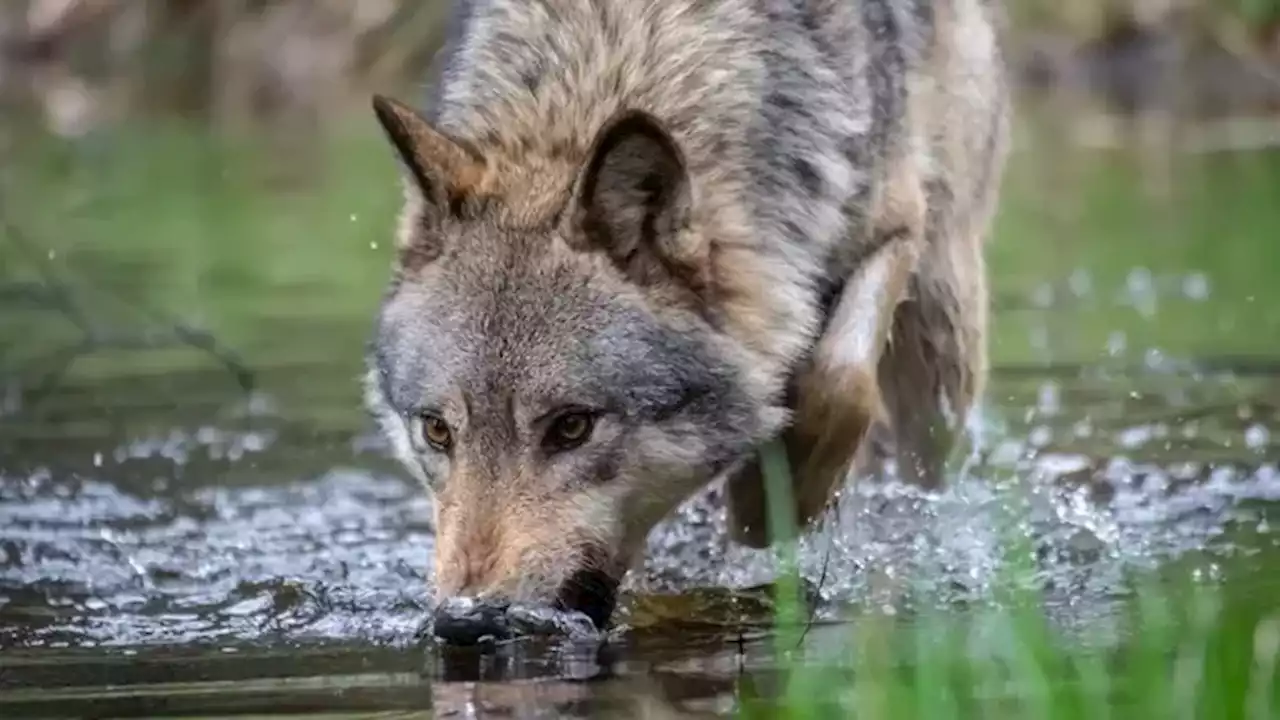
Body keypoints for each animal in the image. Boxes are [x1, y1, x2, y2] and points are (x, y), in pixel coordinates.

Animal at [366, 0, 1013, 635]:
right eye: (437, 431)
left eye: (571, 427)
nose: (467, 622)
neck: (612, 56)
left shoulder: (896, 224)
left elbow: (840, 379)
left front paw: (769, 502)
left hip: (942, 329)